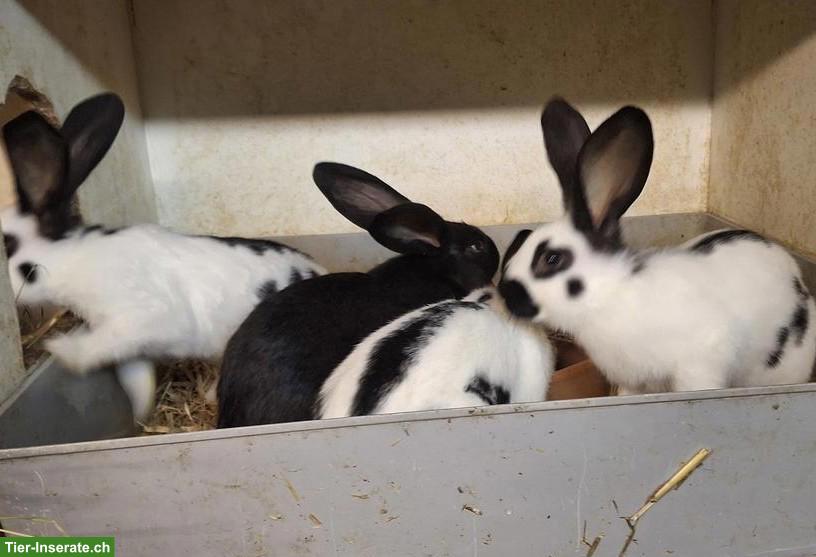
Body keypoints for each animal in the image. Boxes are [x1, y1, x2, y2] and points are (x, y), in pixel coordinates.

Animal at [1, 93, 326, 420]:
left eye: (7, 244)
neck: (73, 258)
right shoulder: (133, 349)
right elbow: (135, 378)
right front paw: (141, 414)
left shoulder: (140, 317)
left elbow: (97, 345)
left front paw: (62, 350)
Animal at [498, 97, 816, 396]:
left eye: (552, 258)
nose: (504, 292)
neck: (611, 296)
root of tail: (800, 280)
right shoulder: (633, 381)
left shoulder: (700, 360)